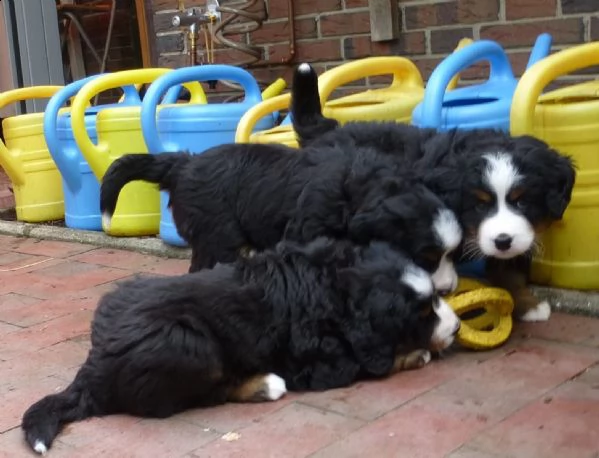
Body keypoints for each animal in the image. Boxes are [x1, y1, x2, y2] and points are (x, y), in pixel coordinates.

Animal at [18, 238, 460, 456]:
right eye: (421, 313)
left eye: (435, 299)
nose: (457, 328)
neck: (333, 284)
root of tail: (93, 365)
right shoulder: (322, 365)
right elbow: (371, 361)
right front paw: (415, 353)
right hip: (186, 342)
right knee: (199, 396)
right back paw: (264, 384)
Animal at [101, 140, 462, 296]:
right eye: (425, 257)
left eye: (453, 255)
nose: (448, 290)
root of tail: (184, 163)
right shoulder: (306, 232)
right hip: (218, 237)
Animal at [292, 62, 580, 322]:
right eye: (480, 205)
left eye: (522, 202)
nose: (502, 240)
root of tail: (331, 130)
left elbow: (509, 268)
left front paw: (527, 304)